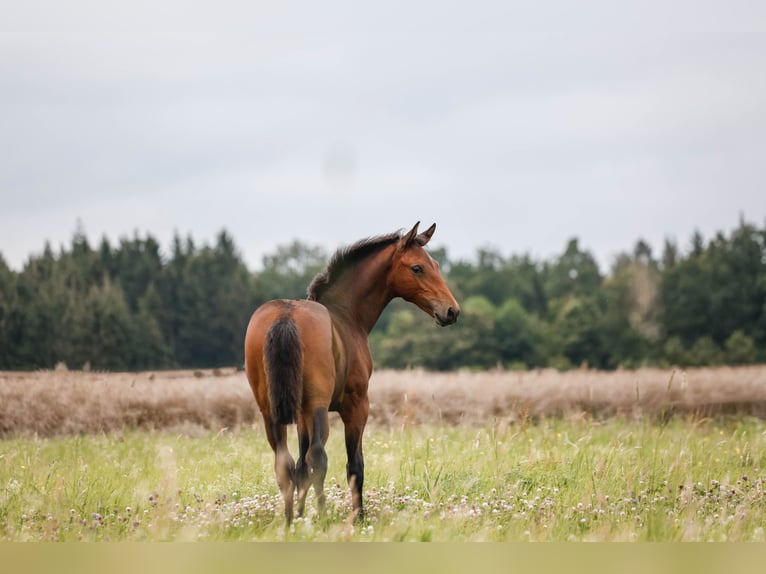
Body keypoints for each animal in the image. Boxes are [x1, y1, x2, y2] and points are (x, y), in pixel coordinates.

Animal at [246, 222, 460, 528]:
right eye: (417, 268)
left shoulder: (300, 415)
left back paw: (288, 522)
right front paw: (359, 517)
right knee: (318, 458)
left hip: (271, 411)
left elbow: (300, 467)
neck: (346, 316)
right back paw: (323, 517)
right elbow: (354, 465)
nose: (451, 311)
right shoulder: (356, 406)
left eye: (437, 265)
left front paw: (299, 514)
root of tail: (286, 317)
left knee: (285, 463)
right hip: (318, 406)